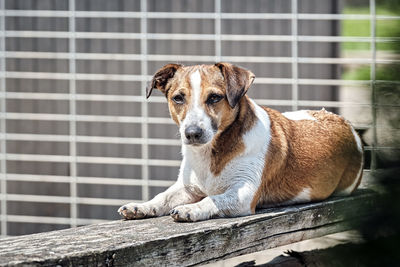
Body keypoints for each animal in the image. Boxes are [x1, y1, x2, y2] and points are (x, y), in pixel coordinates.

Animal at [117, 62, 364, 222]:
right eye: (178, 98)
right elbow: (163, 197)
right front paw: (142, 206)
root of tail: (348, 126)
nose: (192, 133)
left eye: (214, 97)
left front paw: (192, 209)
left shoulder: (243, 193)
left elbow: (212, 199)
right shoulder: (186, 187)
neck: (210, 153)